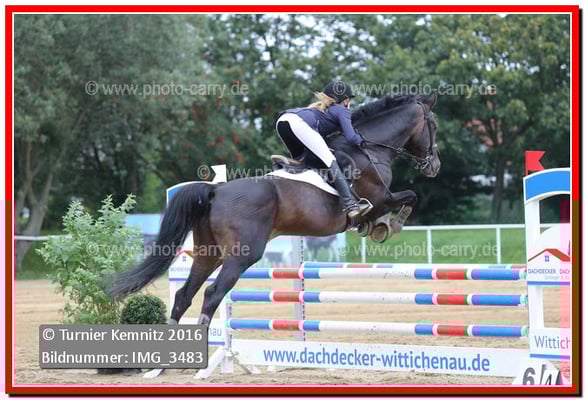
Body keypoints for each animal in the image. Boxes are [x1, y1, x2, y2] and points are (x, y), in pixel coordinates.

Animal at [109, 93, 441, 326]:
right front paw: (388, 225)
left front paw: (377, 227)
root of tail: (216, 190)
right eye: (434, 126)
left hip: (209, 253)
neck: (370, 147)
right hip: (242, 254)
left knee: (183, 294)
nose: (434, 166)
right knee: (212, 295)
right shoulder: (381, 197)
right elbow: (409, 197)